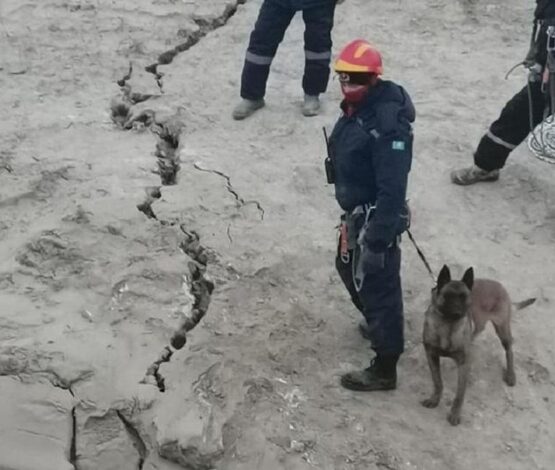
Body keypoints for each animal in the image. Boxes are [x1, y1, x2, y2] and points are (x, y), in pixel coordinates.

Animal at [424, 264, 536, 426]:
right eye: (448, 296)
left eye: (464, 297)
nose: (458, 312)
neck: (447, 326)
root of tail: (500, 286)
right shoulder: (431, 355)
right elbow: (437, 381)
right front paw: (434, 399)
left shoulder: (464, 364)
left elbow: (459, 394)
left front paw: (455, 414)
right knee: (479, 328)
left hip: (502, 329)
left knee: (509, 349)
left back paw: (510, 374)